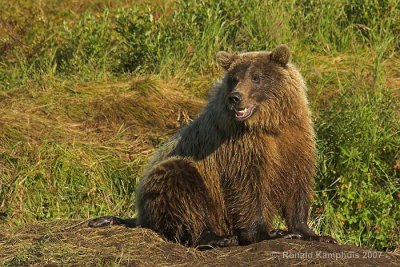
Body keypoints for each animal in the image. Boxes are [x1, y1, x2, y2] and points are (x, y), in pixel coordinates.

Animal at [89, 44, 336, 251]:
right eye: (234, 78)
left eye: (256, 77)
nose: (236, 97)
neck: (268, 124)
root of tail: (140, 215)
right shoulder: (241, 147)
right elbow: (248, 187)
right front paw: (271, 232)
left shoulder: (295, 139)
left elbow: (298, 184)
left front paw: (312, 233)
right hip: (180, 183)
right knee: (181, 186)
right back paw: (216, 238)